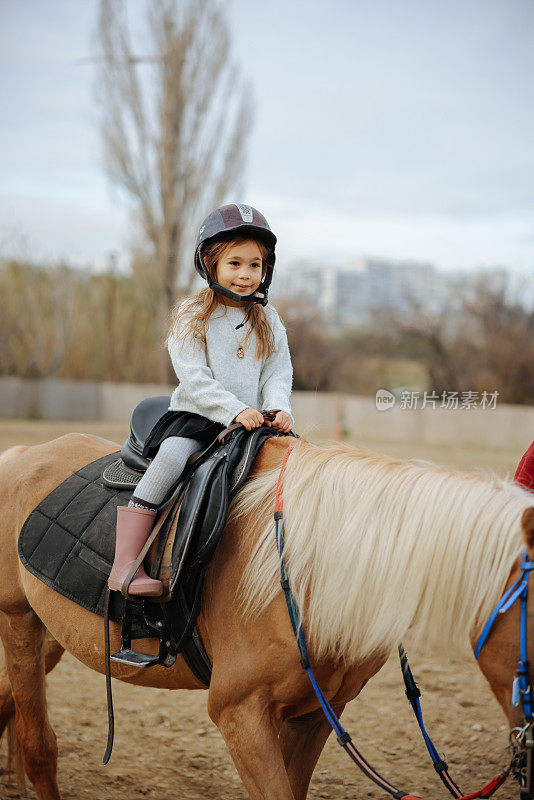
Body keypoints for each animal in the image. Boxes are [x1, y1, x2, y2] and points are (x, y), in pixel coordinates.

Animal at [1, 432, 534, 800]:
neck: (308, 569)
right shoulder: (241, 712)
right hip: (20, 621)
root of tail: (24, 453)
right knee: (38, 743)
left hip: (58, 635)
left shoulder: (318, 711)